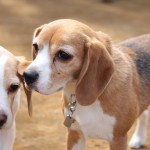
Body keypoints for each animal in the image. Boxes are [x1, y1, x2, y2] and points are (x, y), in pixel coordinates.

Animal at [22, 19, 150, 149]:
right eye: (35, 46)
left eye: (63, 55)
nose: (27, 76)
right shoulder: (74, 134)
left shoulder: (118, 139)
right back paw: (139, 138)